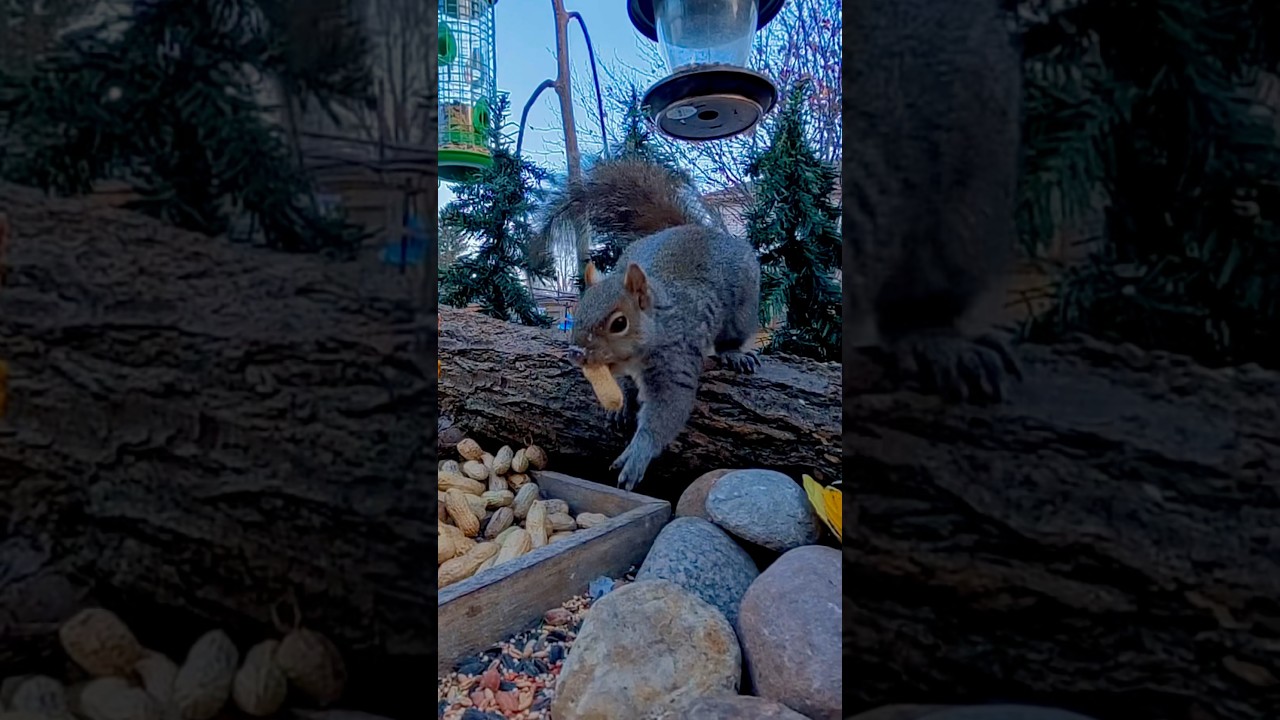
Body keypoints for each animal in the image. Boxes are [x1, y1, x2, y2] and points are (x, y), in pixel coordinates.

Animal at [539, 159, 761, 491]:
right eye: (577, 312)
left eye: (619, 323)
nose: (577, 354)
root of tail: (691, 228)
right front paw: (622, 408)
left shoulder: (675, 359)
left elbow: (668, 406)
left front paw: (638, 453)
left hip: (743, 305)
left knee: (733, 335)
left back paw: (735, 354)